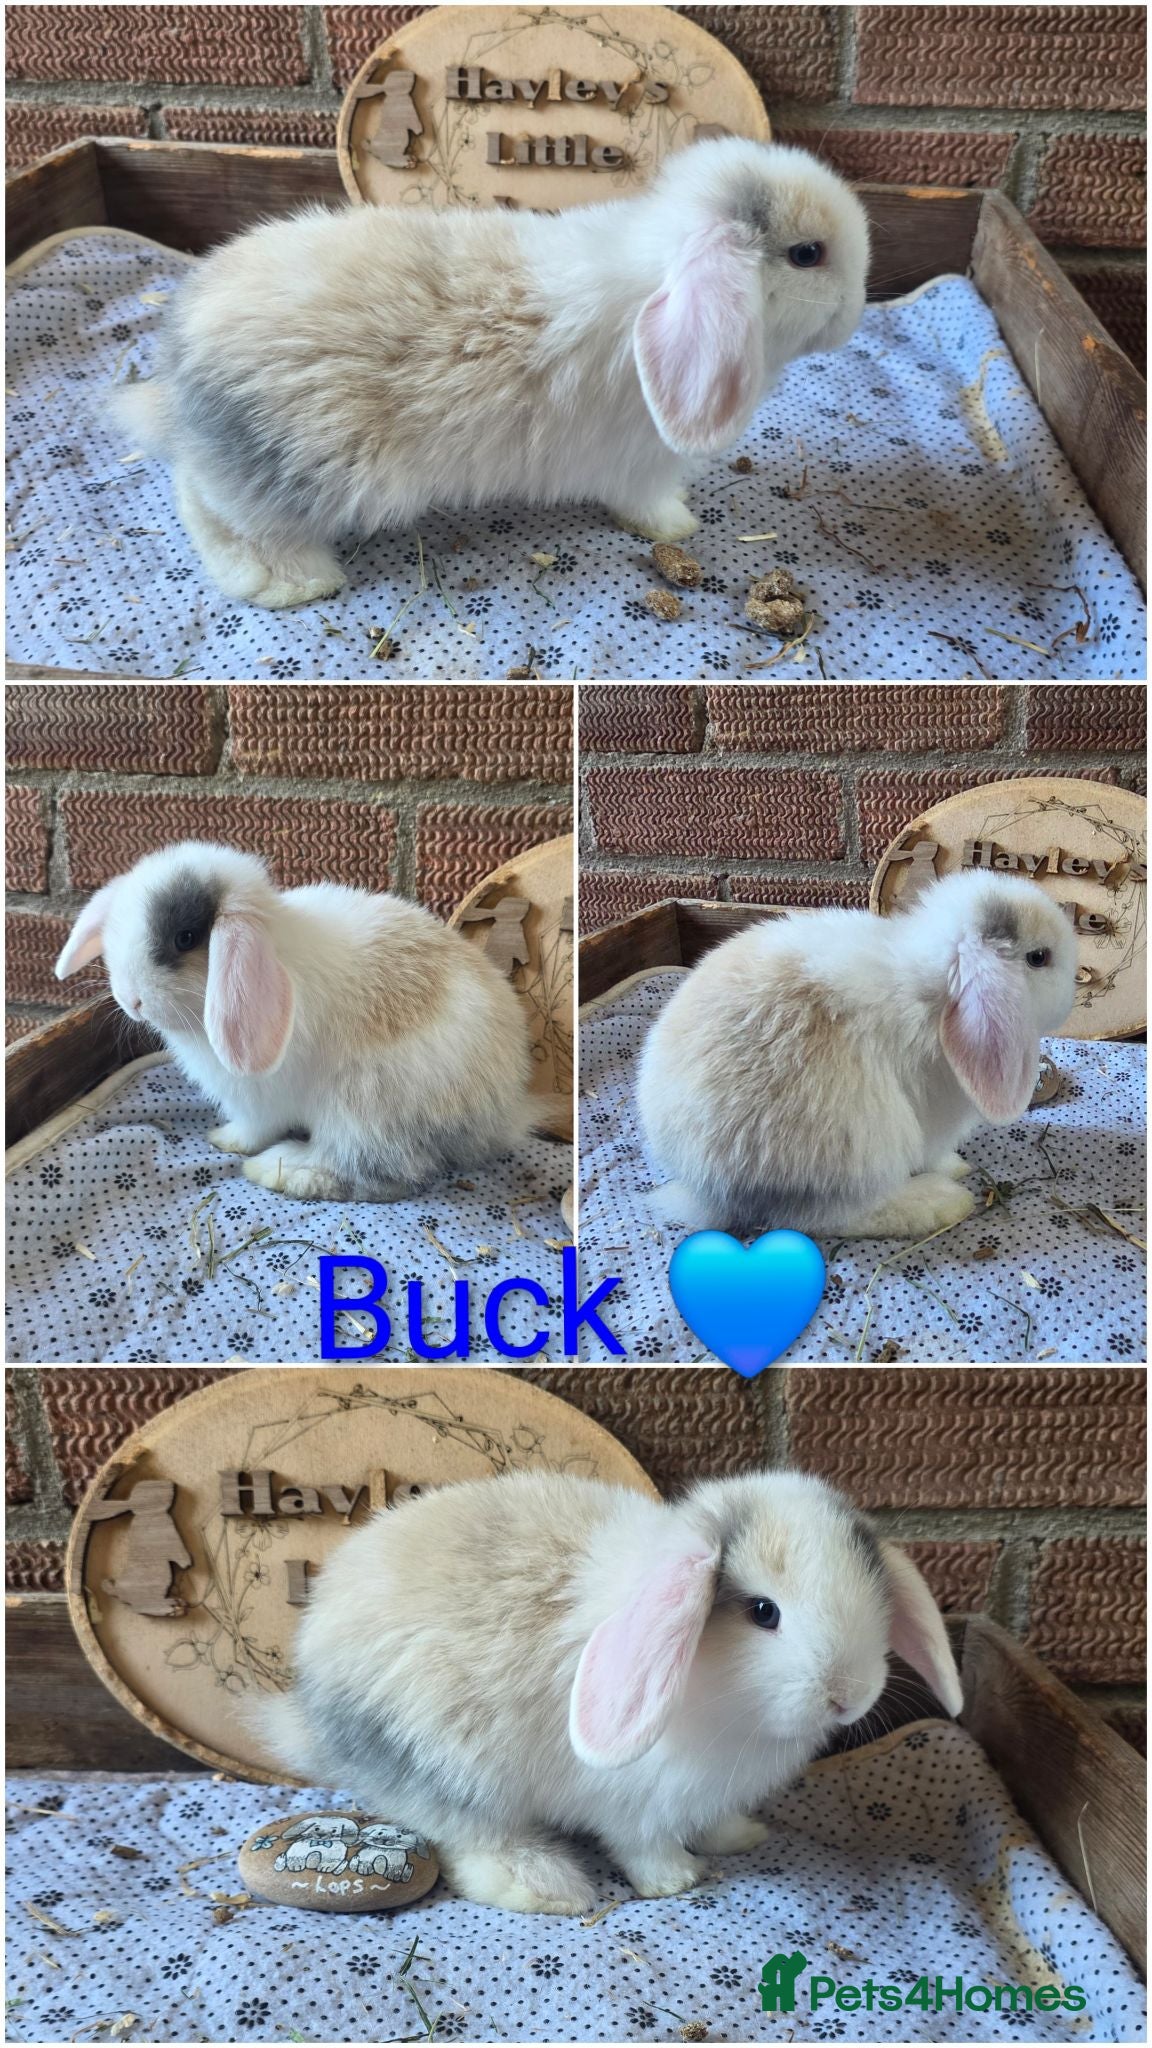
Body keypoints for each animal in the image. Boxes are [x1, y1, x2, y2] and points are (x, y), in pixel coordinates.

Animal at [53, 841, 535, 1202]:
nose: (130, 999)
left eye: (185, 938)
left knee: (378, 1170)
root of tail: (502, 1109)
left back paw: (277, 1169)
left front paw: (226, 1140)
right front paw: (221, 1138)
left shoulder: (256, 1099)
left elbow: (254, 1127)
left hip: (363, 1109)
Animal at [110, 137, 869, 607]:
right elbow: (649, 505)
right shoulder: (641, 465)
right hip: (300, 474)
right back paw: (296, 583)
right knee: (218, 516)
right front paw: (678, 529)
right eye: (808, 254)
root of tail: (180, 358)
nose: (857, 311)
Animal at [252, 1467, 961, 1914]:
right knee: (472, 1840)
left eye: (876, 1589)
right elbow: (642, 1846)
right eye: (764, 1612)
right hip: (451, 1768)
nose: (849, 1696)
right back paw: (548, 1886)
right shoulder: (634, 1804)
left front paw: (739, 1837)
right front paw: (676, 1881)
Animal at [636, 870, 1078, 1240]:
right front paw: (951, 1172)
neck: (935, 995)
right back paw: (941, 1202)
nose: (1074, 991)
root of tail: (703, 1185)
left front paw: (958, 1164)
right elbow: (931, 1151)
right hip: (858, 1144)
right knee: (819, 1218)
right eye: (1039, 957)